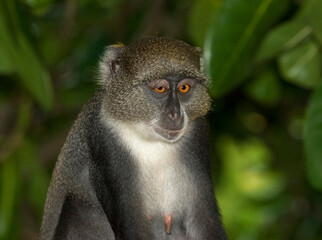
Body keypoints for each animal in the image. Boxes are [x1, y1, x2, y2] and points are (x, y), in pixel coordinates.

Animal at [40, 36, 228, 239]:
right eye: (160, 88)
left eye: (184, 88)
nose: (176, 115)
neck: (151, 139)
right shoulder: (104, 138)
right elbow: (131, 225)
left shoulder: (197, 134)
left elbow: (204, 221)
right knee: (75, 207)